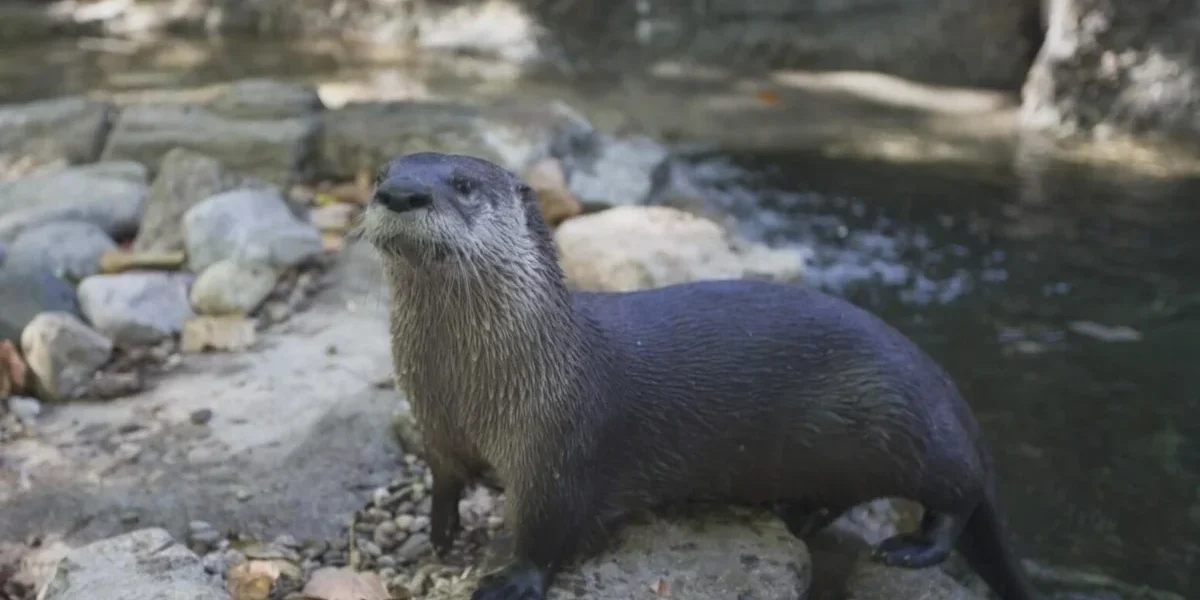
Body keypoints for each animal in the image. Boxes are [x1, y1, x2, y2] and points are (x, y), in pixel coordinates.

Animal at [360, 151, 1041, 600]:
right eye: (383, 174)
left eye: (465, 185)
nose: (402, 193)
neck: (468, 390)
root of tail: (946, 385)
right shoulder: (437, 426)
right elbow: (444, 479)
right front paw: (440, 531)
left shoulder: (559, 445)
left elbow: (550, 528)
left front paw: (512, 581)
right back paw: (795, 516)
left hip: (912, 424)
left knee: (960, 495)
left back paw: (911, 547)